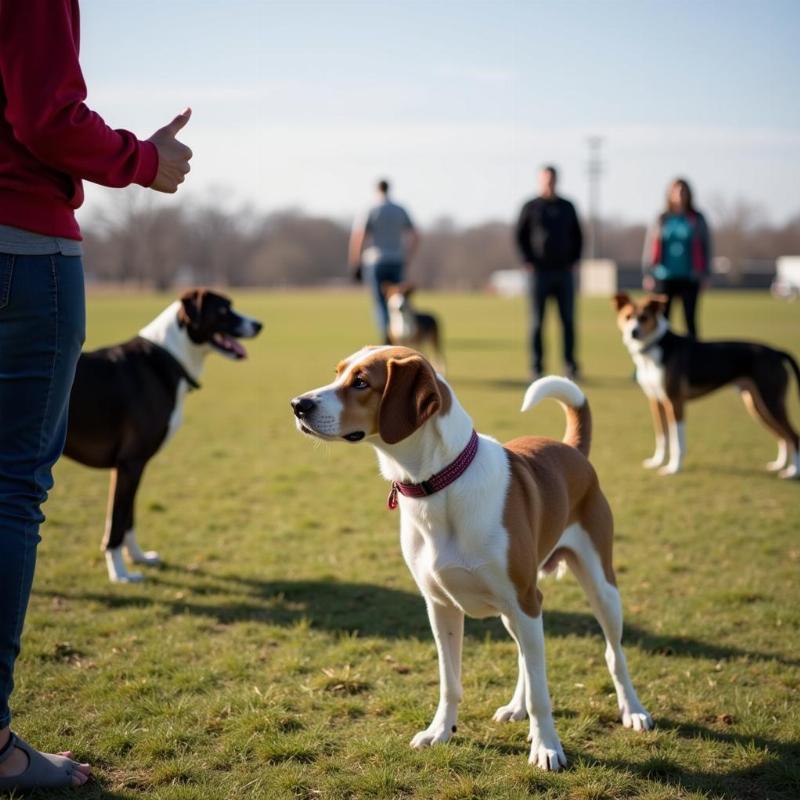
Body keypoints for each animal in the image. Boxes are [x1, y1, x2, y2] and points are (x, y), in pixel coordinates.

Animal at [64, 288, 262, 580]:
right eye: (224, 310)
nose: (259, 325)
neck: (169, 357)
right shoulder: (131, 463)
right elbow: (118, 522)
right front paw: (120, 574)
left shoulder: (126, 467)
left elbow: (127, 520)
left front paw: (137, 558)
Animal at [290, 346, 652, 772]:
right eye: (338, 373)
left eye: (361, 382)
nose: (298, 404)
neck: (438, 484)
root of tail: (571, 448)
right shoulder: (441, 606)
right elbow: (451, 682)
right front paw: (440, 731)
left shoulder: (524, 601)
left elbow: (542, 692)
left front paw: (547, 746)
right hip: (516, 610)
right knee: (525, 658)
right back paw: (515, 708)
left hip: (597, 588)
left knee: (613, 654)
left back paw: (633, 710)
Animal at [616, 292, 796, 476]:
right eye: (627, 317)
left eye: (644, 317)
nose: (633, 332)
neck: (656, 347)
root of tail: (777, 352)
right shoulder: (656, 401)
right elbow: (662, 436)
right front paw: (657, 462)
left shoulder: (675, 402)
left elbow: (676, 441)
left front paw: (674, 468)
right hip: (757, 404)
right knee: (782, 437)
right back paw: (779, 465)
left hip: (771, 401)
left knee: (793, 436)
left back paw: (793, 471)